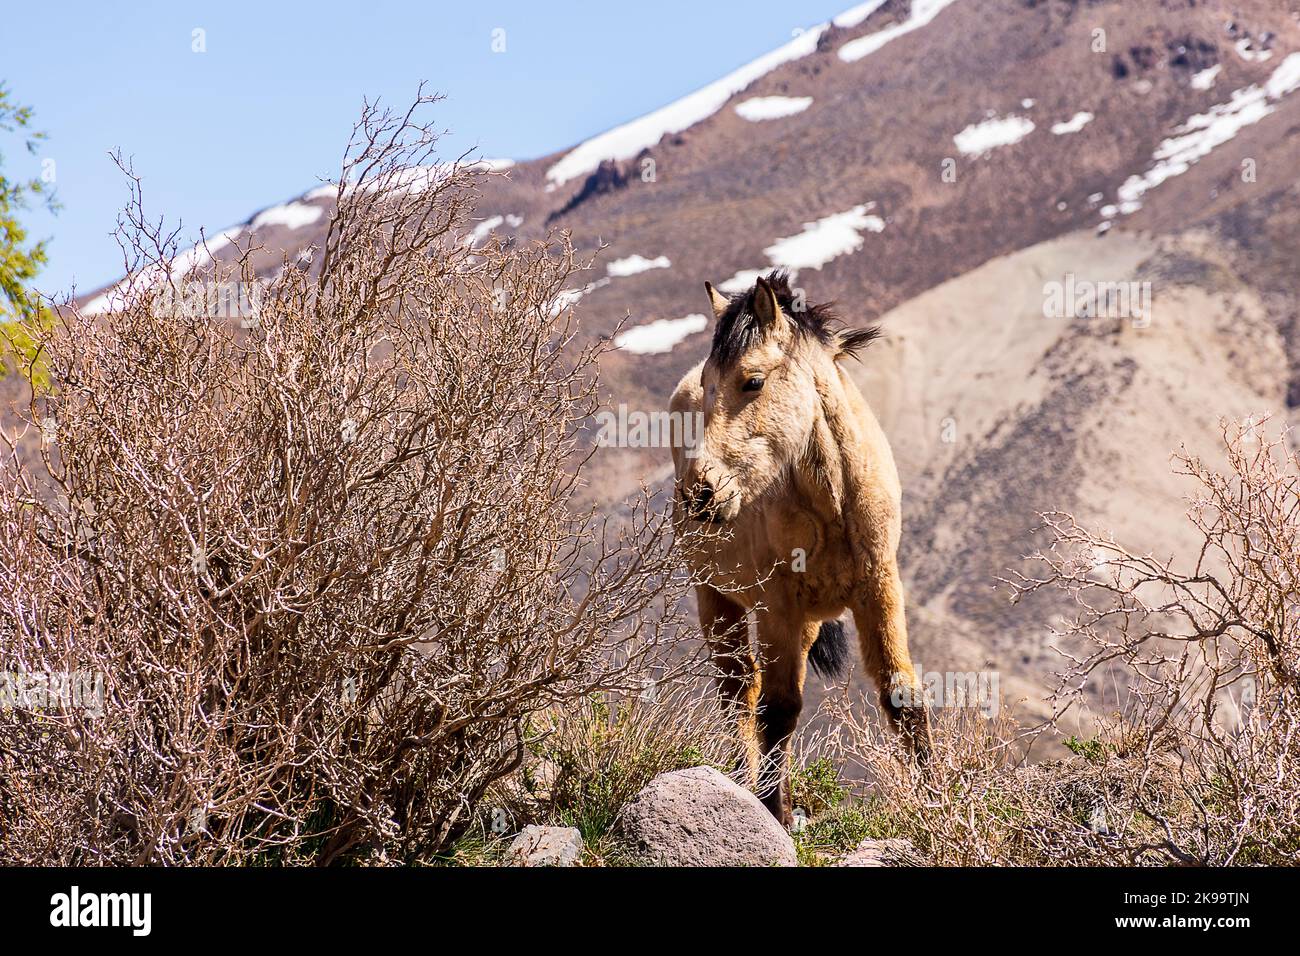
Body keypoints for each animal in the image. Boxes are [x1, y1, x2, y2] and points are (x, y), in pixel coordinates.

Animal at [670, 270, 931, 826]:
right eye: (707, 387)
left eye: (753, 381)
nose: (701, 493)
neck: (833, 505)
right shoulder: (776, 607)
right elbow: (779, 709)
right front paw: (774, 814)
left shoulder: (880, 589)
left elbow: (902, 696)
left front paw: (938, 801)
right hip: (715, 599)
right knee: (739, 692)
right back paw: (743, 783)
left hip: (807, 620)